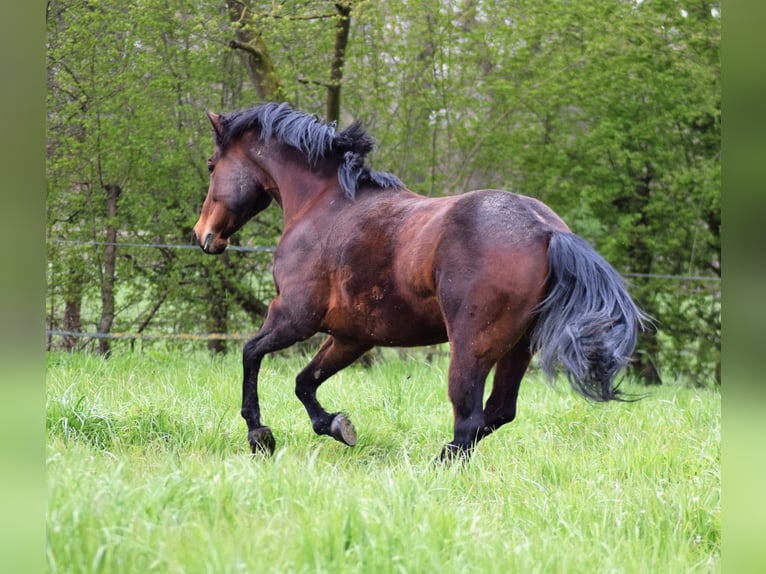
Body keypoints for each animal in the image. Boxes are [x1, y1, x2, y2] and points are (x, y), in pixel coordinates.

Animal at [192, 102, 648, 464]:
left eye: (212, 166)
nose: (204, 235)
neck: (324, 205)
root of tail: (545, 229)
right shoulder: (351, 337)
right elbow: (305, 382)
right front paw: (336, 425)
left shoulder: (294, 316)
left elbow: (251, 354)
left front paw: (260, 435)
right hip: (517, 349)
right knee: (498, 412)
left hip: (470, 347)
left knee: (469, 419)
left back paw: (435, 468)